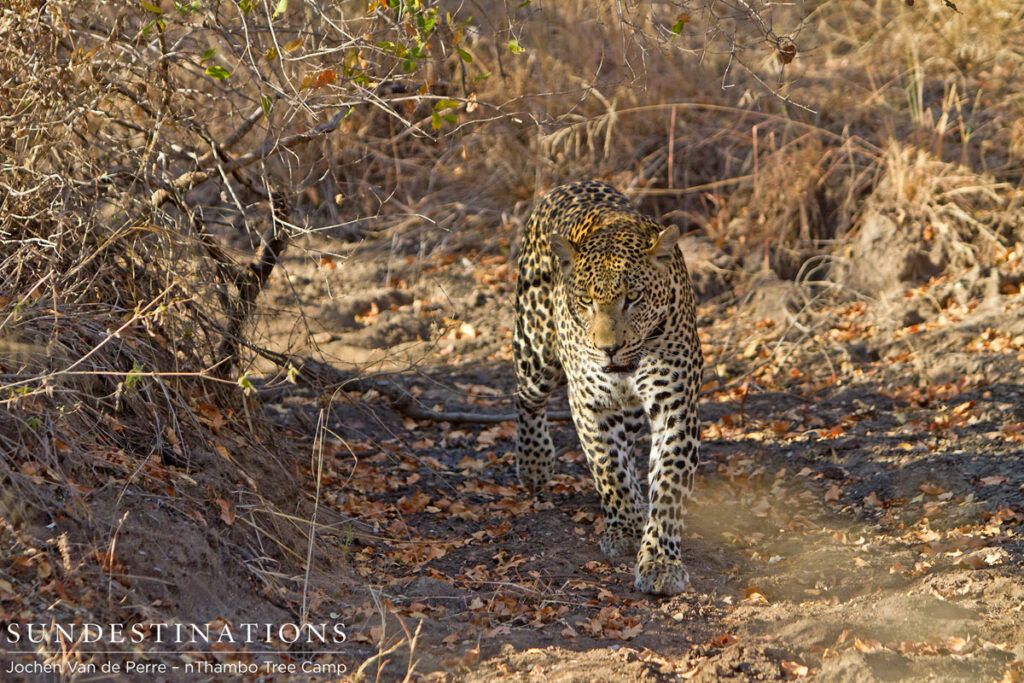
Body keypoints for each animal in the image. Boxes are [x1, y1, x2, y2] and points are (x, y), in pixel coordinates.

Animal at [513, 180, 703, 596]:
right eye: (586, 301)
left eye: (633, 298)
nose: (607, 348)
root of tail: (571, 183)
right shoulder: (592, 403)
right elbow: (607, 467)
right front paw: (626, 528)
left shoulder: (675, 406)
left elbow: (668, 487)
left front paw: (659, 560)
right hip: (534, 351)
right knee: (524, 398)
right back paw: (534, 463)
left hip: (628, 410)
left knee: (630, 445)